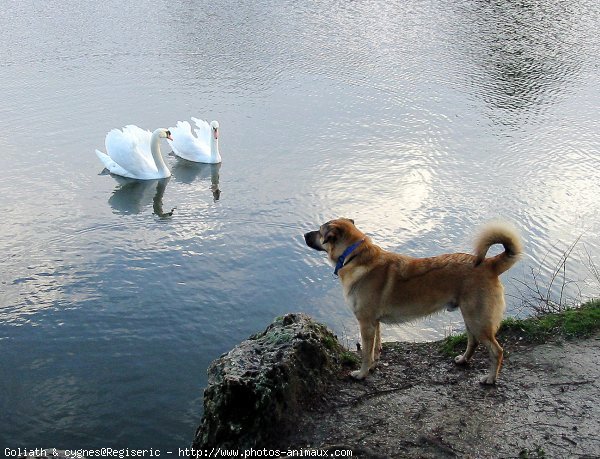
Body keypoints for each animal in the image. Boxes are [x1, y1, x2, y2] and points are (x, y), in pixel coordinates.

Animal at [304, 219, 520, 384]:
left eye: (320, 231)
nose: (305, 234)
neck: (353, 255)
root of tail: (489, 264)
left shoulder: (365, 323)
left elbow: (365, 352)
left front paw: (362, 373)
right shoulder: (374, 323)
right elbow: (375, 347)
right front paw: (373, 364)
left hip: (478, 320)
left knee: (497, 351)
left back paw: (490, 378)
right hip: (471, 318)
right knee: (473, 342)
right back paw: (463, 360)